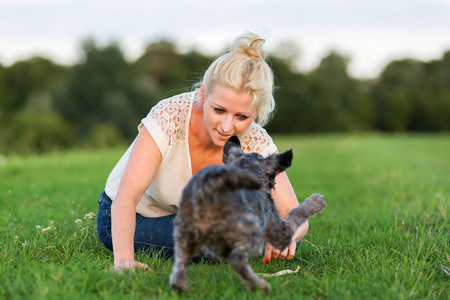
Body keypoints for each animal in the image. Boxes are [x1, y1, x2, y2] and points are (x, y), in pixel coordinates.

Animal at [171, 135, 326, 292]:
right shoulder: (279, 231)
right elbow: (296, 214)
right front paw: (315, 202)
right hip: (250, 234)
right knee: (236, 259)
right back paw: (259, 285)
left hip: (184, 236)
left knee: (180, 264)